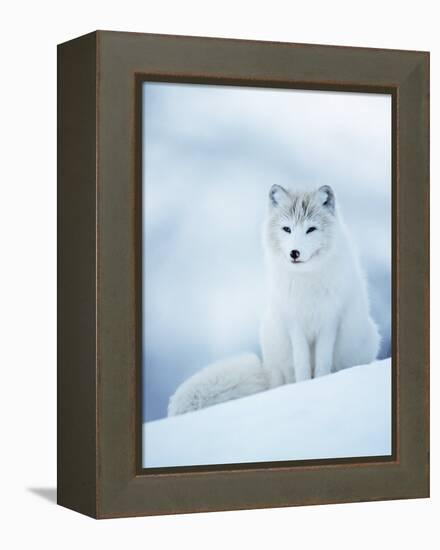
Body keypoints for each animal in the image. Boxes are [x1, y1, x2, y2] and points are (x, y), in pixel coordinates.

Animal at [167, 183, 380, 416]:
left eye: (311, 229)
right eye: (287, 229)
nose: (294, 252)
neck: (306, 281)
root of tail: (265, 373)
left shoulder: (329, 321)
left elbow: (323, 362)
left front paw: (319, 383)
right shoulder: (294, 322)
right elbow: (302, 363)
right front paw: (304, 386)